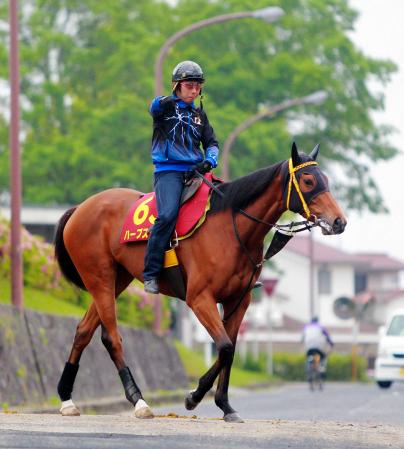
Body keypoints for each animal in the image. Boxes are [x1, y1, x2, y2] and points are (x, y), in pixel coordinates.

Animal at [53, 143, 348, 420]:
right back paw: (139, 401)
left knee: (84, 331)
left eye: (325, 179)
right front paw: (194, 396)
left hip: (117, 280)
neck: (231, 226)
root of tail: (79, 208)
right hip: (100, 277)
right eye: (308, 181)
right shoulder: (200, 299)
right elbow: (225, 347)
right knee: (112, 337)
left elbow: (230, 350)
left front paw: (225, 405)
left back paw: (66, 398)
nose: (339, 221)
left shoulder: (238, 301)